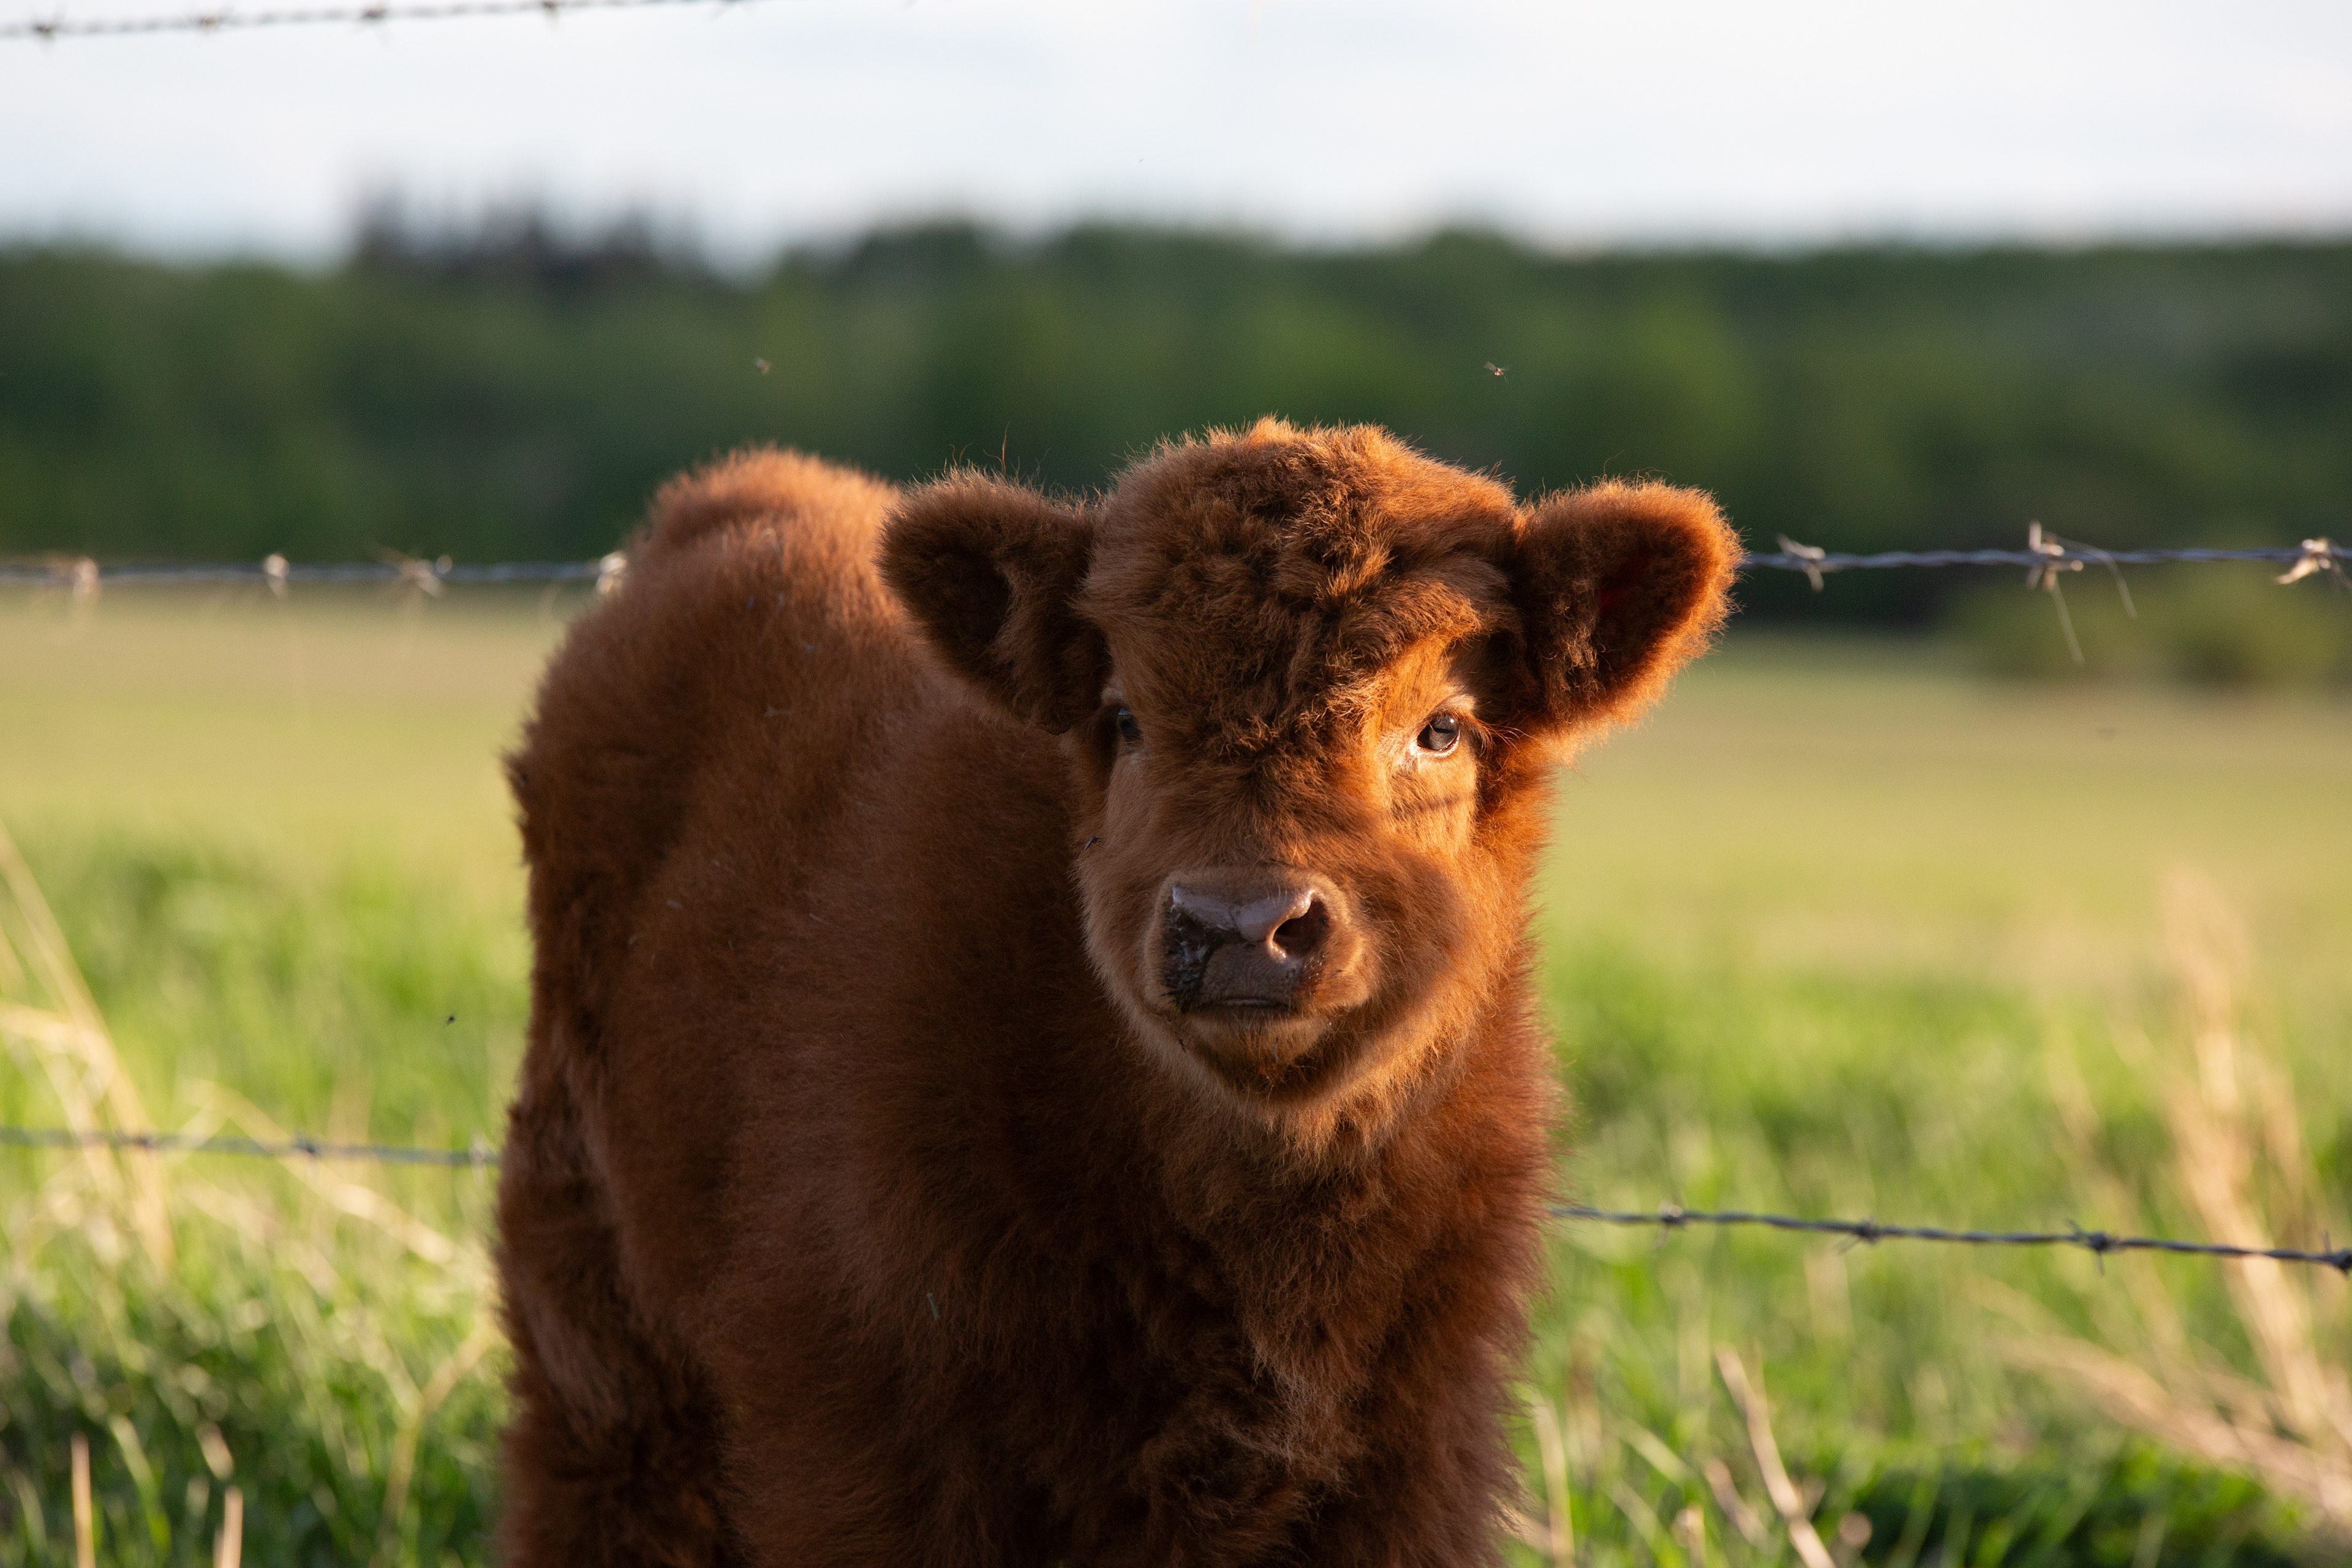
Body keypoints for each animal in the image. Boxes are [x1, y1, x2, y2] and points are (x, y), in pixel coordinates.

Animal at [496, 418, 1736, 1566]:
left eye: (1441, 729)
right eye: (1127, 717)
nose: (1242, 928)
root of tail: (732, 501)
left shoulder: (1414, 1459)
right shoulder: (863, 1439)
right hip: (598, 1330)